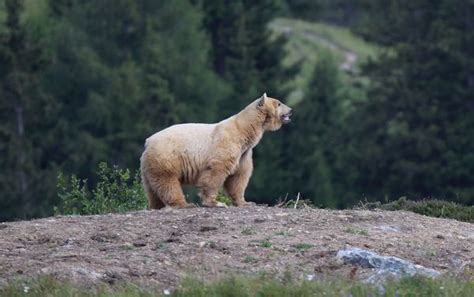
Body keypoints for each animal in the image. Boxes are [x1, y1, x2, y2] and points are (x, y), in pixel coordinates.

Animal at [139, 93, 290, 208]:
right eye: (279, 103)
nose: (291, 110)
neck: (243, 131)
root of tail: (148, 141)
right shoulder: (227, 142)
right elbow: (217, 170)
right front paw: (215, 202)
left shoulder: (244, 153)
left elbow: (239, 176)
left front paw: (246, 202)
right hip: (166, 157)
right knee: (168, 182)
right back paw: (184, 204)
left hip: (149, 165)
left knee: (152, 189)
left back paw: (156, 205)